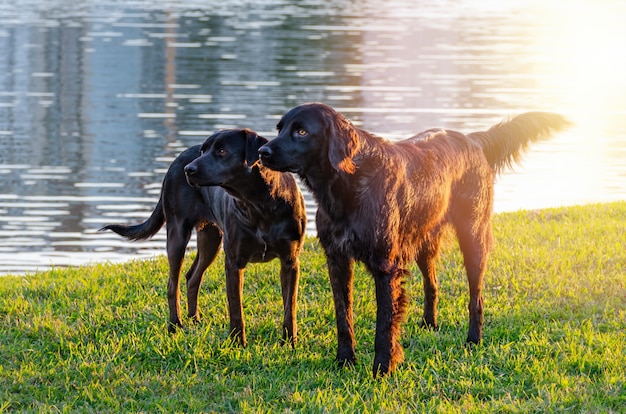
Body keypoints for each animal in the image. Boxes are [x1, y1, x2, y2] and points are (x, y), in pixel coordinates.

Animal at [100, 128, 304, 344]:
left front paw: (289, 343)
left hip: (210, 238)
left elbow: (290, 307)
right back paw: (175, 325)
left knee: (192, 277)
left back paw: (194, 320)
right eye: (203, 150)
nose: (188, 170)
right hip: (177, 234)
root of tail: (175, 162)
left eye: (222, 151)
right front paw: (238, 343)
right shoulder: (234, 261)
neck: (259, 204)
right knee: (173, 284)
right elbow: (236, 308)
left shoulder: (290, 261)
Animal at [256, 102, 568, 376]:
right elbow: (343, 316)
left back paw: (473, 340)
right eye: (280, 128)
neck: (347, 183)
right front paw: (345, 361)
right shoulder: (337, 259)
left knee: (476, 297)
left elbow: (384, 323)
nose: (262, 151)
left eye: (302, 131)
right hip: (424, 242)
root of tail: (472, 140)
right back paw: (430, 324)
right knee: (433, 284)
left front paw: (382, 369)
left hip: (473, 238)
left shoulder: (385, 266)